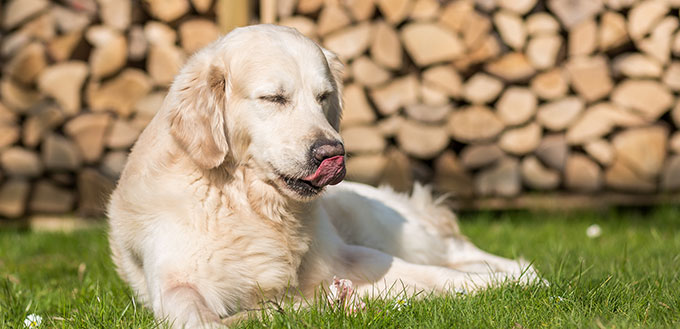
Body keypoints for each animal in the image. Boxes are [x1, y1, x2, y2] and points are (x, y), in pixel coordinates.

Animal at [107, 24, 540, 326]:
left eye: (323, 97)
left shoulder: (348, 256)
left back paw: (519, 273)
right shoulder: (175, 282)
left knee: (457, 253)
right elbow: (195, 313)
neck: (251, 206)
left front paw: (500, 285)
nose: (332, 152)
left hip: (391, 228)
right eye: (274, 98)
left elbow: (436, 277)